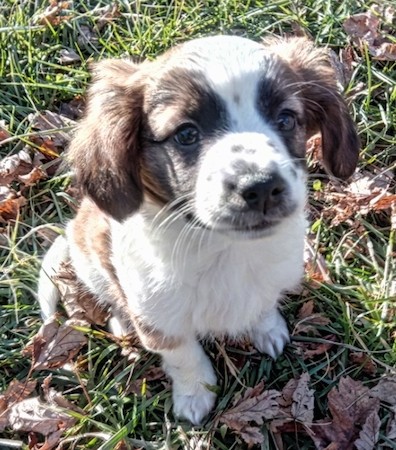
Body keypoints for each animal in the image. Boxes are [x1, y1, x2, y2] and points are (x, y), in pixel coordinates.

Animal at [38, 35, 360, 426]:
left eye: (286, 119)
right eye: (186, 134)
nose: (262, 187)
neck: (224, 250)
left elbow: (263, 304)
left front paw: (267, 328)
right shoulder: (159, 317)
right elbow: (183, 355)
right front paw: (195, 393)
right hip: (90, 259)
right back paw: (122, 322)